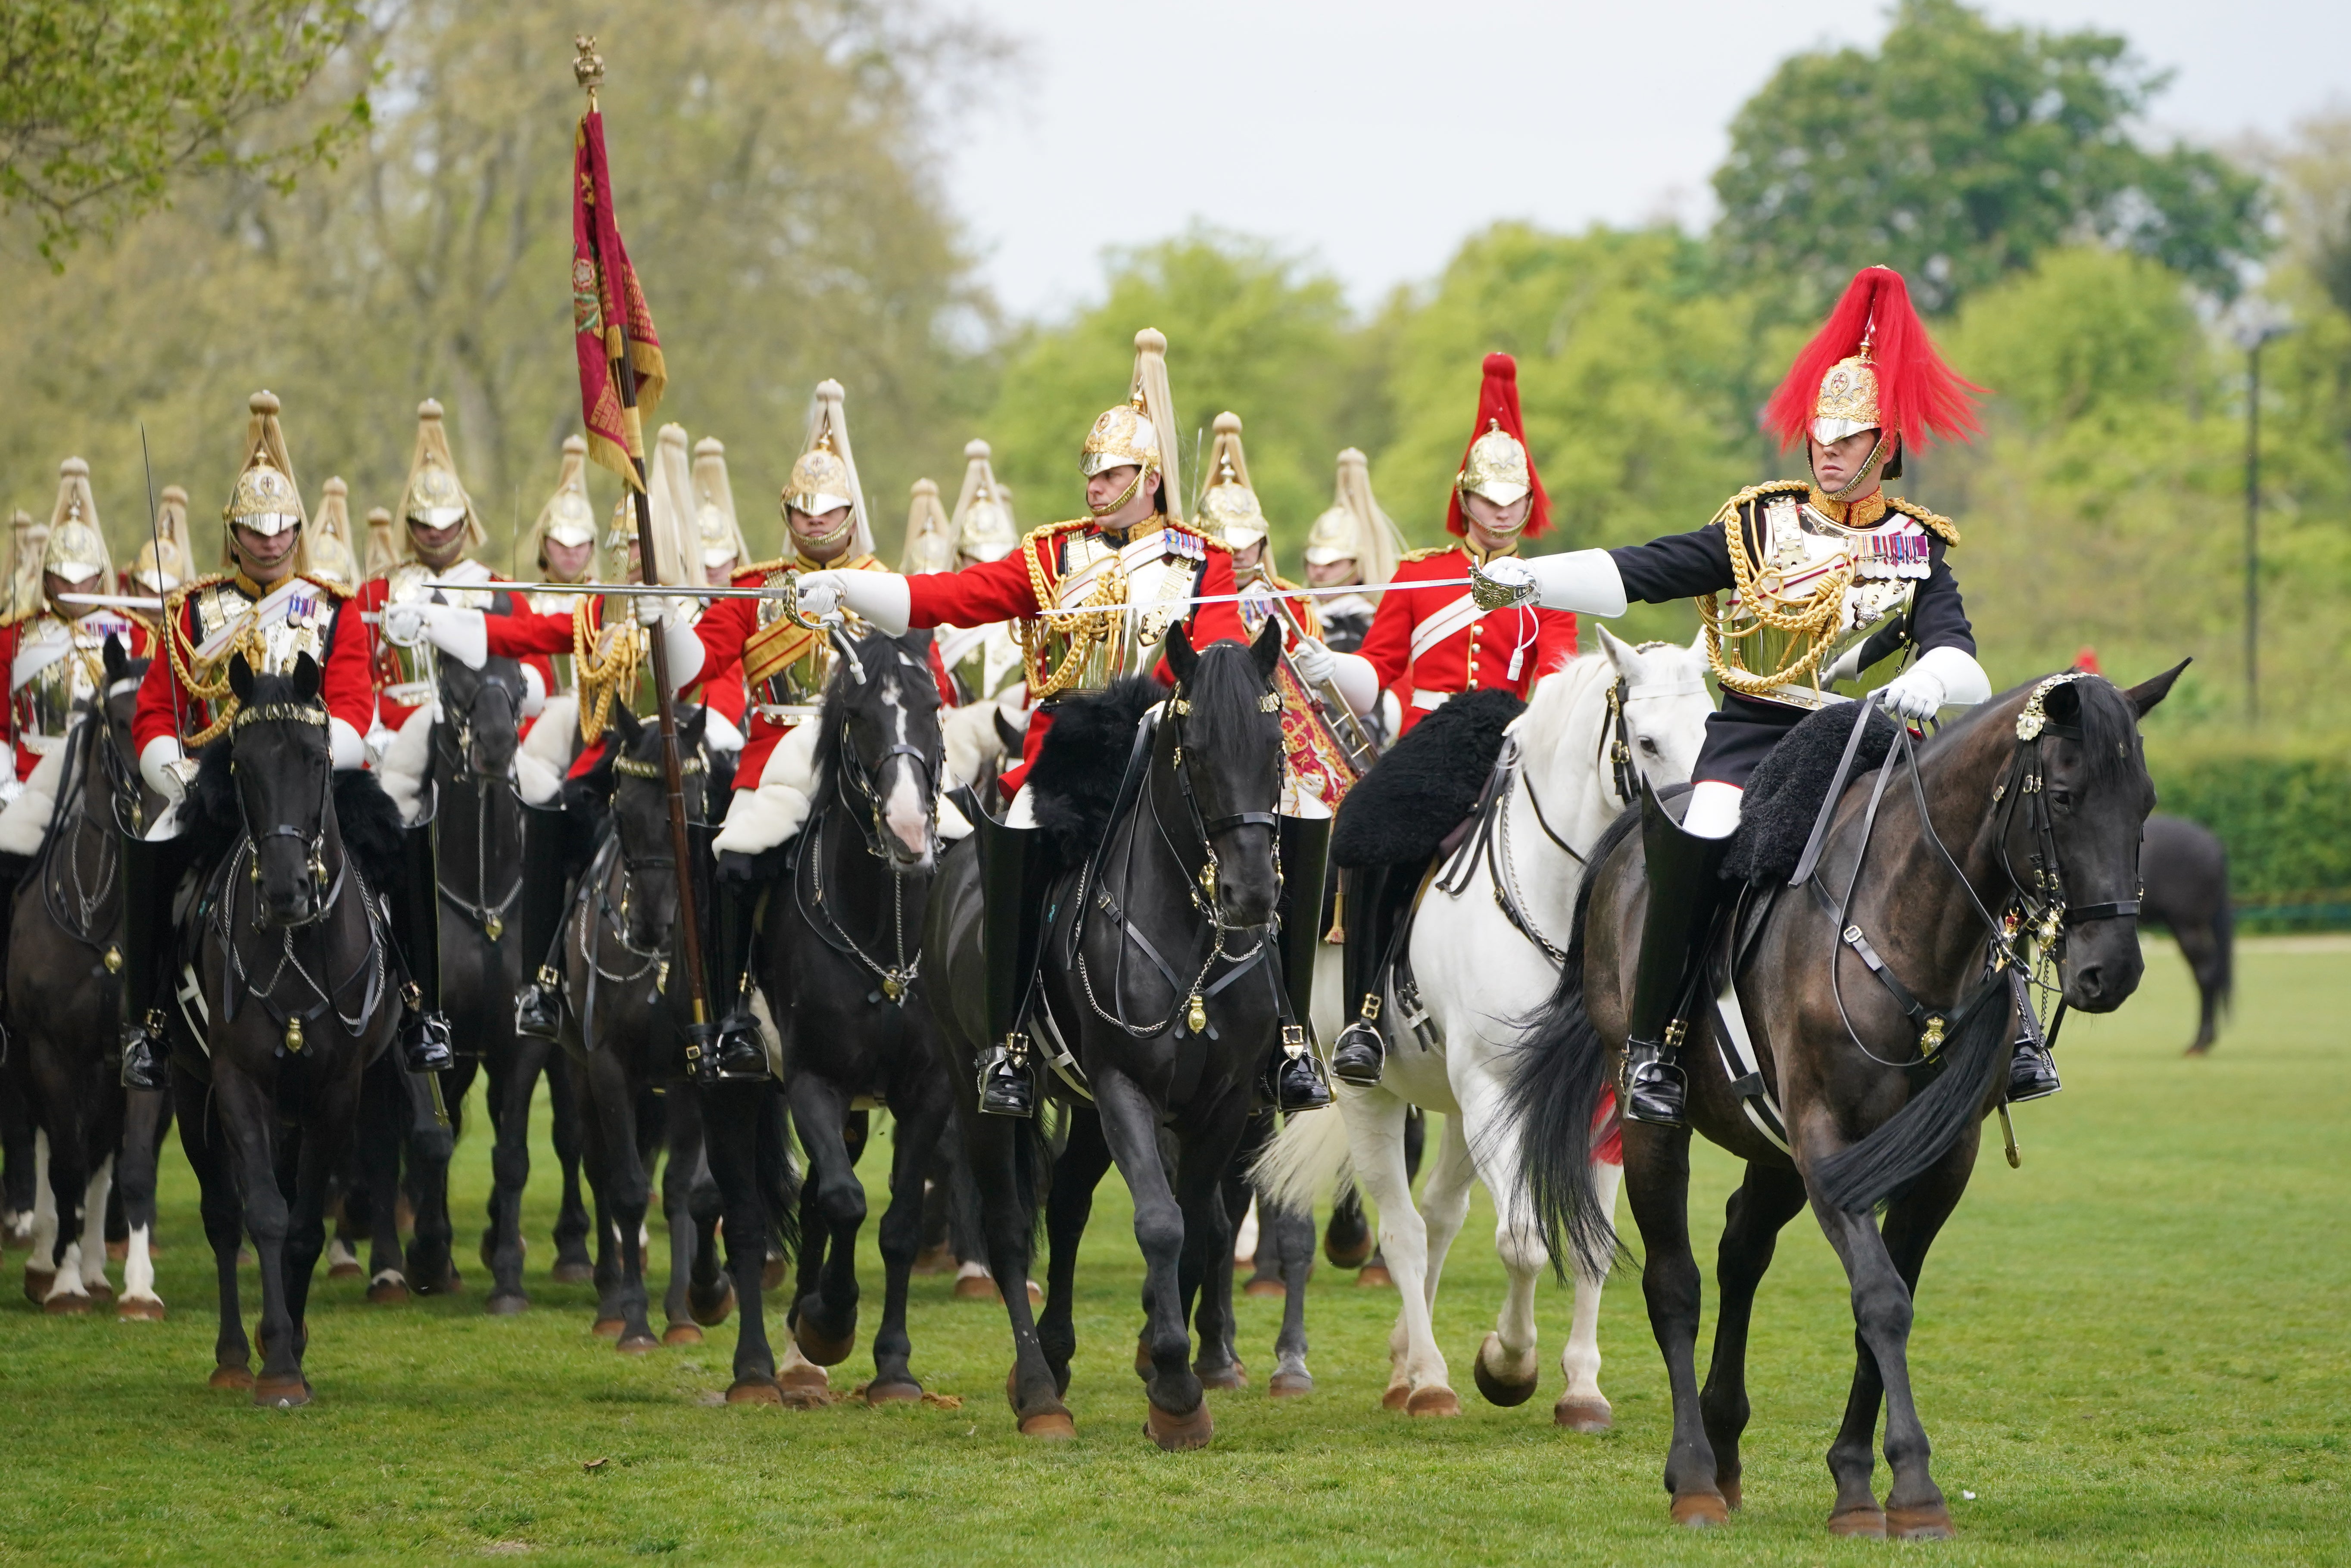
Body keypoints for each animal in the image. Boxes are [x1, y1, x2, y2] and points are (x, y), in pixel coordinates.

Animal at [171, 658, 404, 1401]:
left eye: (315, 759)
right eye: (241, 764)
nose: (284, 891)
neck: (297, 944)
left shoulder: (336, 1091)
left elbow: (303, 1225)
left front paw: (293, 1348)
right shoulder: (237, 1082)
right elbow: (266, 1215)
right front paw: (274, 1360)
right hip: (188, 1089)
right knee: (223, 1215)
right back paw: (231, 1356)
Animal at [705, 630, 945, 1410]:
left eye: (932, 708)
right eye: (860, 717)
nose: (908, 831)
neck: (883, 934)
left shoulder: (927, 1094)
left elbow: (896, 1225)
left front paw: (892, 1366)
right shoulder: (814, 1081)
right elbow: (845, 1201)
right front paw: (830, 1320)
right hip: (731, 1088)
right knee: (747, 1217)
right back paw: (754, 1366)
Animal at [921, 620, 1288, 1457]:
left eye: (1276, 742)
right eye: (1195, 747)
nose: (1251, 895)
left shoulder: (1221, 1106)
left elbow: (1198, 1228)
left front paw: (1165, 1370)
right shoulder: (1126, 1089)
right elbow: (1159, 1222)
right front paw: (1178, 1389)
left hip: (1088, 1111)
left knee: (1066, 1207)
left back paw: (1058, 1358)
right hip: (974, 1084)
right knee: (1009, 1228)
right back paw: (1036, 1391)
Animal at [1269, 625, 1711, 1420]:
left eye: (1711, 728)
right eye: (1649, 742)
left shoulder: (1600, 1099)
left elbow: (1592, 1242)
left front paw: (1582, 1388)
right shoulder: (1491, 1091)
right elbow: (1524, 1239)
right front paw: (1508, 1365)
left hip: (1454, 1106)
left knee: (1440, 1214)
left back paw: (1405, 1361)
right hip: (1373, 1094)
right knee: (1405, 1229)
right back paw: (1429, 1378)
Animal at [1514, 667, 2172, 1542]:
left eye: (2145, 801)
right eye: (2064, 797)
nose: (2114, 970)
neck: (1907, 929)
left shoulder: (1937, 1161)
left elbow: (1885, 1300)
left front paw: (1859, 1487)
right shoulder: (1828, 1140)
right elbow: (1880, 1300)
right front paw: (1916, 1488)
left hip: (1775, 1151)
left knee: (1741, 1250)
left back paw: (1726, 1446)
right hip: (1652, 1123)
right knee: (1675, 1283)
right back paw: (1694, 1476)